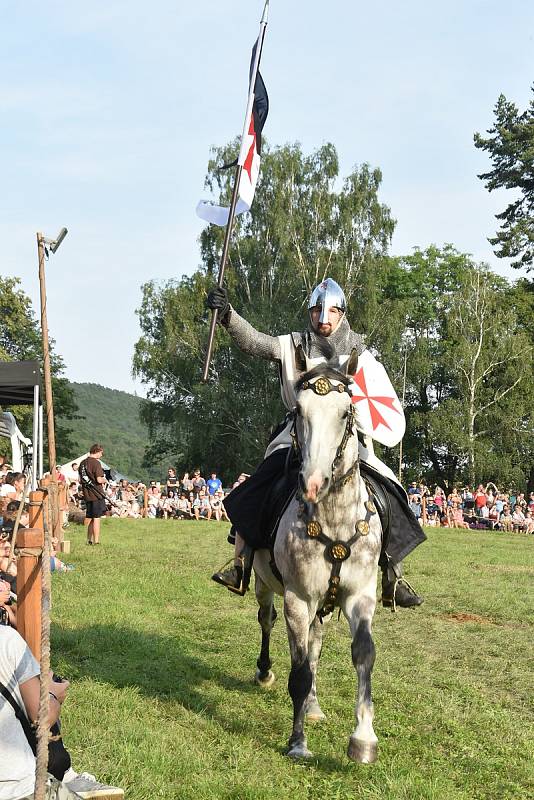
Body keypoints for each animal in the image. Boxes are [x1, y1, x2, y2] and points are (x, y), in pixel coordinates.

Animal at [253, 350, 384, 764]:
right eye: (299, 410)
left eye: (346, 413)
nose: (312, 484)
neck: (336, 521)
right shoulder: (298, 599)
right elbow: (297, 673)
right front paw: (297, 742)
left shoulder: (360, 596)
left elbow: (363, 654)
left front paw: (363, 739)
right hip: (263, 583)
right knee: (266, 620)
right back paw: (264, 673)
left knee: (315, 644)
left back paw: (312, 706)